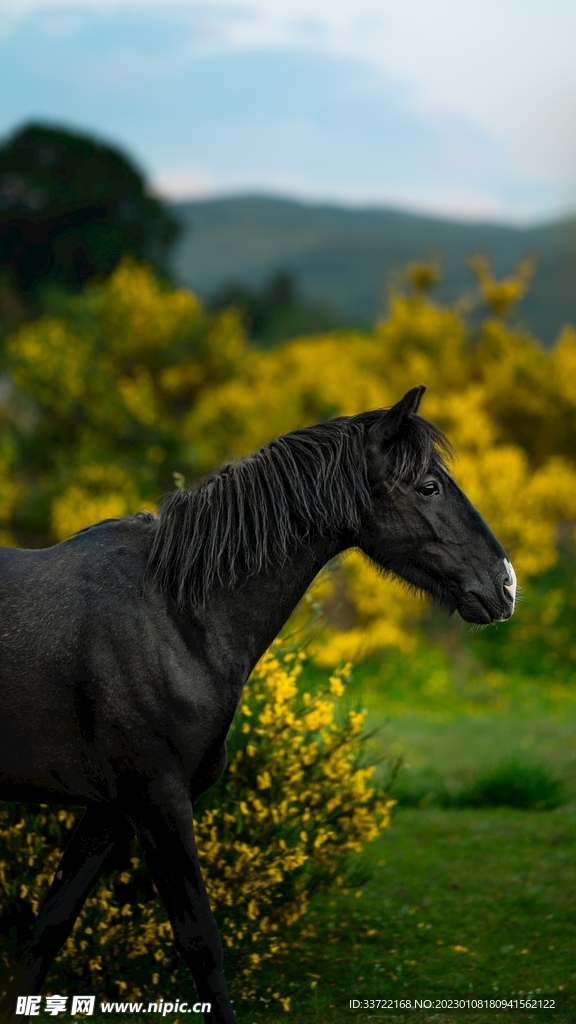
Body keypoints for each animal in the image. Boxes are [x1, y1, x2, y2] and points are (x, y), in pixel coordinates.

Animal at [0, 385, 516, 1023]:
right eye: (428, 486)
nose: (506, 585)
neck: (172, 613)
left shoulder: (111, 811)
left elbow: (47, 932)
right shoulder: (158, 800)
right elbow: (200, 941)